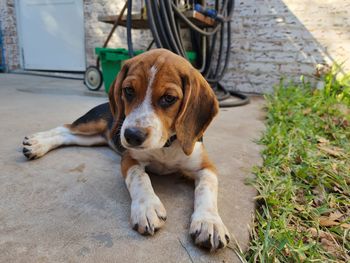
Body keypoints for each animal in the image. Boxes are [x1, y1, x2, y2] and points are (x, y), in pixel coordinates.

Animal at [21, 49, 230, 252]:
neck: (165, 147)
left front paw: (209, 222)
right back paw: (37, 143)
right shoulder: (130, 159)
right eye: (128, 90)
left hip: (92, 138)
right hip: (91, 123)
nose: (132, 136)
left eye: (169, 98)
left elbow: (206, 188)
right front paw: (147, 207)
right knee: (64, 128)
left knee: (68, 136)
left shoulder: (206, 167)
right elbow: (140, 178)